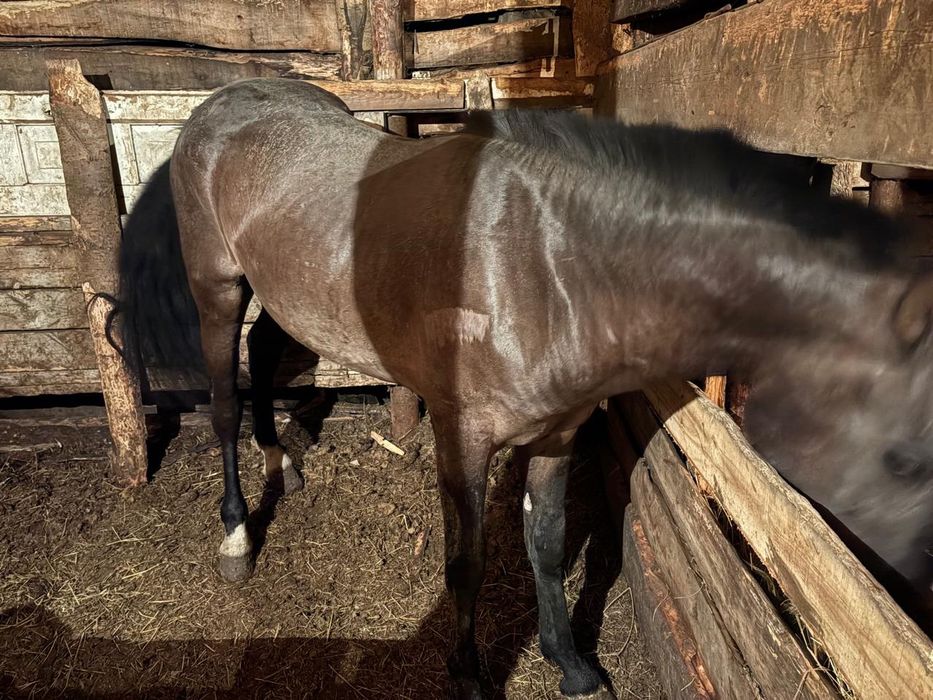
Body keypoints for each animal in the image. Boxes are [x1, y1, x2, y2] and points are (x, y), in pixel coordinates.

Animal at [108, 78, 933, 698]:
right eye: (903, 461)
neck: (550, 265)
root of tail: (219, 104)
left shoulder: (559, 434)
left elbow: (546, 542)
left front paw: (569, 663)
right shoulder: (463, 438)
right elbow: (467, 561)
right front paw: (470, 676)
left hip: (288, 292)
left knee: (265, 351)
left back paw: (283, 458)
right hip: (217, 286)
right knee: (221, 399)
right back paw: (237, 535)